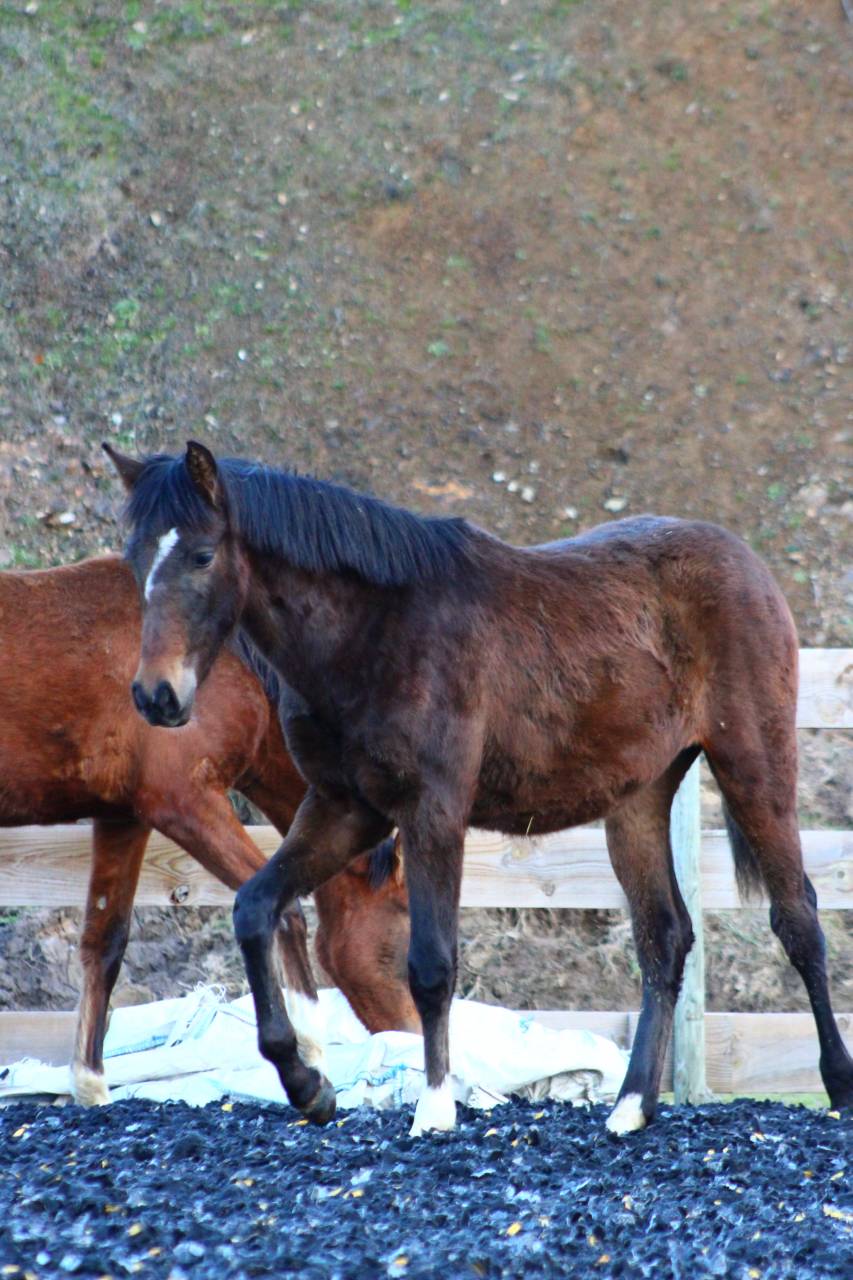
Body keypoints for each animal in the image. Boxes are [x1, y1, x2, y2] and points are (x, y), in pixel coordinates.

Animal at [0, 553, 416, 1107]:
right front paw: (310, 1060)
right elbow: (283, 913)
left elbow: (104, 942)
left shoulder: (124, 817)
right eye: (407, 922)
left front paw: (91, 1085)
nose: (418, 1039)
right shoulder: (187, 803)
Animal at [108, 439, 853, 1136]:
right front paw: (306, 1084)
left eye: (202, 555)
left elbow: (431, 965)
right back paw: (631, 1105)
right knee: (663, 939)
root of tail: (745, 561)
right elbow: (256, 909)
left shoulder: (432, 812)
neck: (374, 634)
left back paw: (837, 1086)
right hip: (637, 801)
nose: (155, 696)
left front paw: (436, 1107)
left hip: (755, 767)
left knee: (798, 922)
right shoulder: (345, 810)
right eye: (137, 559)